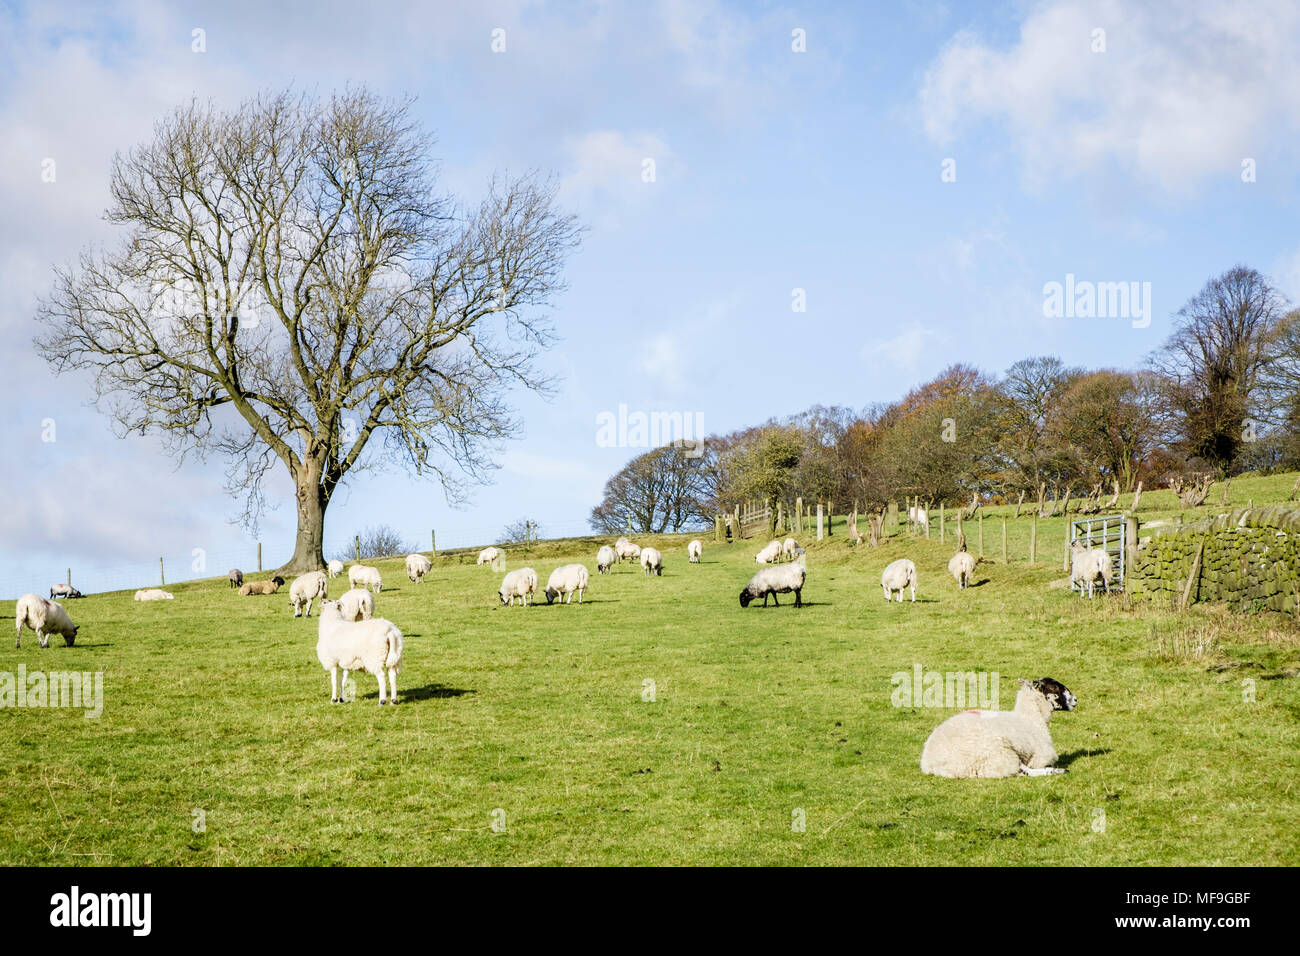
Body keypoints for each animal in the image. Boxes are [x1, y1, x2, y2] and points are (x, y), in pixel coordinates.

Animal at [915, 681, 1076, 780]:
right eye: (1054, 687)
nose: (1075, 700)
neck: (1031, 719)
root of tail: (929, 763)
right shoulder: (1040, 756)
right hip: (997, 752)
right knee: (1021, 770)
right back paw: (1057, 771)